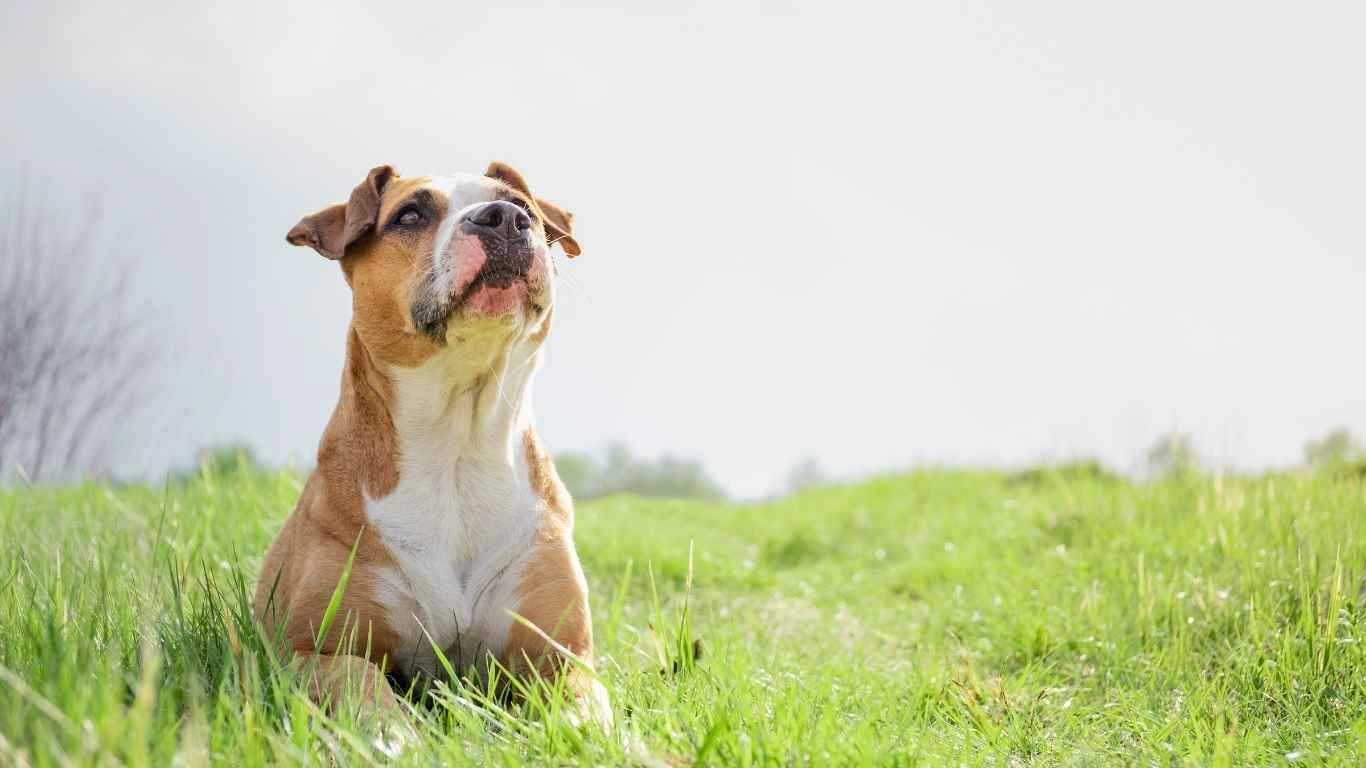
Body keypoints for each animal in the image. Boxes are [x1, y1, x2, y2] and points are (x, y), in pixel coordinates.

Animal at [254, 159, 606, 716]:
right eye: (410, 214)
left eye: (523, 207)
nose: (505, 218)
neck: (457, 441)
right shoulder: (312, 652)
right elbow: (365, 689)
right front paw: (393, 731)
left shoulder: (562, 657)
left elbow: (583, 711)